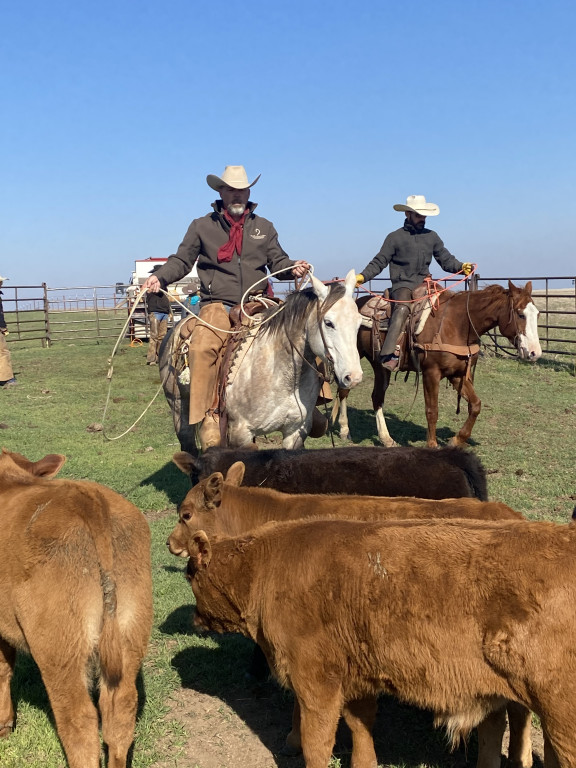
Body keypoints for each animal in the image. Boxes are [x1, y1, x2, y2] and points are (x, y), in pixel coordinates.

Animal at [159, 269, 362, 455]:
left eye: (359, 322)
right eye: (328, 323)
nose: (354, 377)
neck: (280, 375)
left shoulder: (296, 432)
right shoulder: (240, 434)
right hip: (178, 407)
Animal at [335, 280, 542, 448]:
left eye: (538, 314)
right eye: (520, 314)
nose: (535, 352)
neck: (457, 325)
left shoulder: (457, 374)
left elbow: (475, 405)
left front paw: (457, 440)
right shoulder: (431, 373)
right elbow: (432, 410)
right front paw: (432, 444)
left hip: (379, 367)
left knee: (375, 396)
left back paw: (384, 438)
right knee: (349, 391)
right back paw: (347, 431)